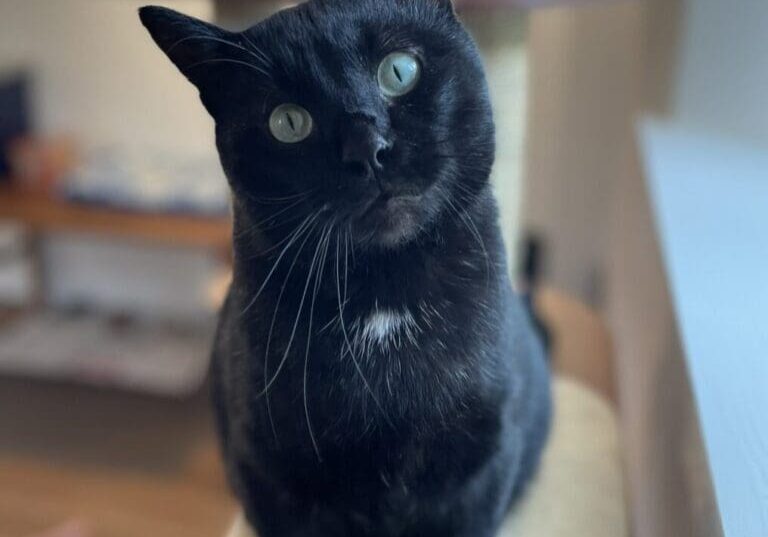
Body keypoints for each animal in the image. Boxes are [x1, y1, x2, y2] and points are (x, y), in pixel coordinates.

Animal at [136, 2, 544, 532]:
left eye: (399, 71)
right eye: (288, 121)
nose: (367, 148)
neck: (384, 305)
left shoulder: (482, 463)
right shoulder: (265, 473)